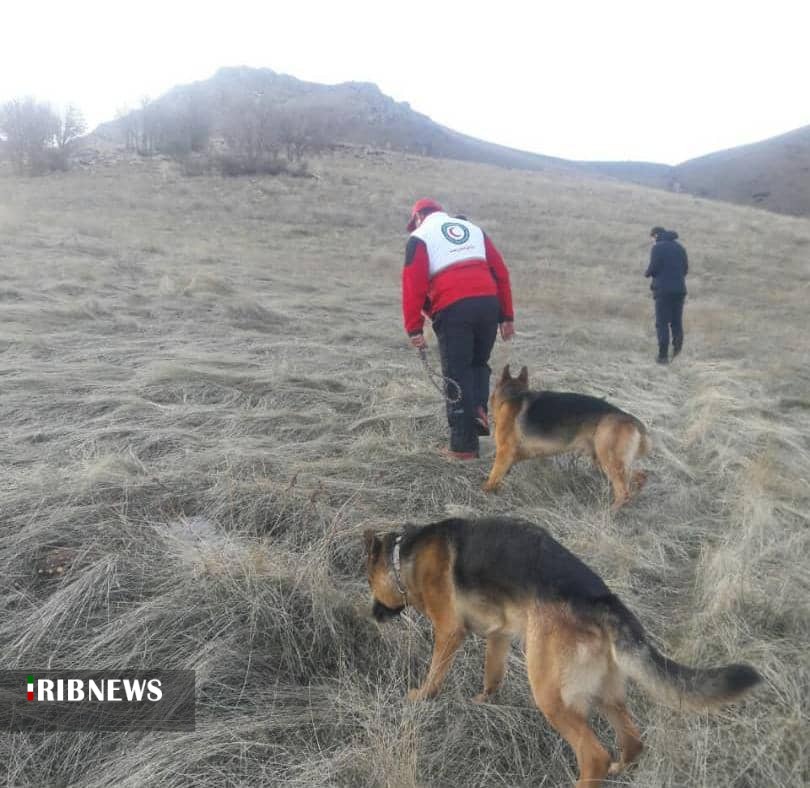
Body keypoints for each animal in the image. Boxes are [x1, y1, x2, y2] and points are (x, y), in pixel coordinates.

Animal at [364, 516, 756, 788]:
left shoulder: (448, 632)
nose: (372, 616)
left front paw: (422, 696)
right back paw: (621, 767)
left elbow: (435, 672)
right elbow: (493, 675)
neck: (404, 557)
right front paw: (482, 702)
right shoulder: (499, 636)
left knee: (594, 754)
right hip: (605, 691)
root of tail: (604, 603)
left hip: (551, 693)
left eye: (370, 584)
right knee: (632, 741)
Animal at [482, 364, 648, 510]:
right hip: (605, 461)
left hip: (609, 461)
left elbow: (493, 476)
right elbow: (501, 475)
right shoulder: (515, 456)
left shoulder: (504, 453)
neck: (513, 395)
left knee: (623, 492)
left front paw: (485, 493)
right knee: (639, 477)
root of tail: (630, 419)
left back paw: (610, 511)